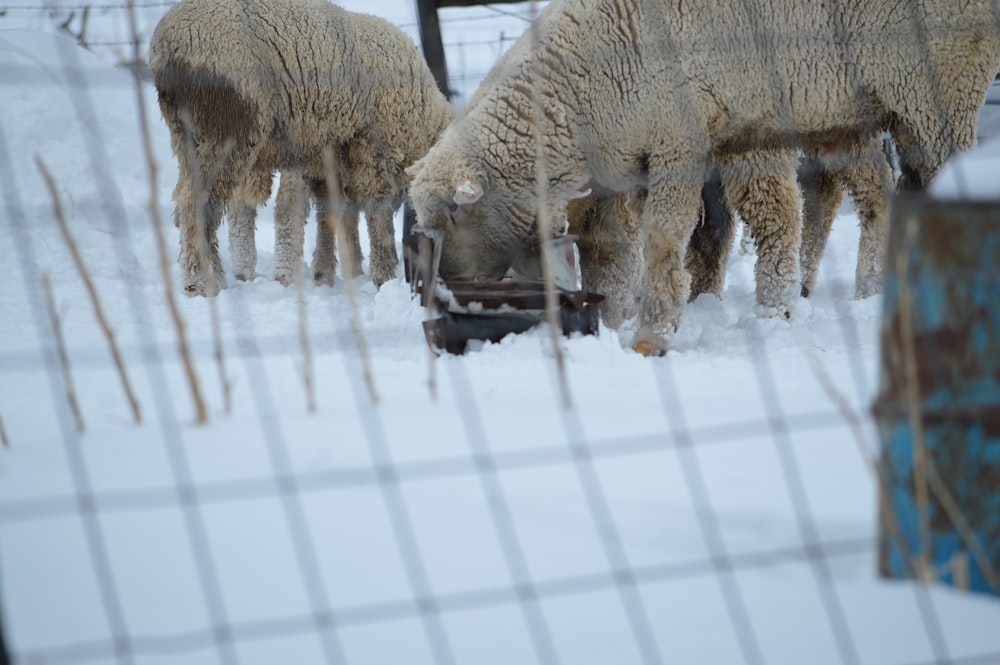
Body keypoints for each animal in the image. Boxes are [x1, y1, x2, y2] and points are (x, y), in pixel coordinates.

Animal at [148, 0, 454, 294]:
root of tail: (167, 44)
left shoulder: (328, 156)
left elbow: (332, 212)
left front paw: (330, 273)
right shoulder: (369, 147)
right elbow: (374, 213)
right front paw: (383, 277)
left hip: (188, 137)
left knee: (199, 204)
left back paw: (220, 276)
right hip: (230, 128)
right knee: (197, 201)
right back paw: (201, 283)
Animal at [406, 0, 1000, 356]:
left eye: (454, 212)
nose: (438, 288)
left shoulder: (679, 141)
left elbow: (666, 240)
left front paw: (652, 336)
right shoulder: (697, 146)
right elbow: (616, 251)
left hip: (938, 87)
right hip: (855, 109)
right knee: (879, 195)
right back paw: (867, 289)